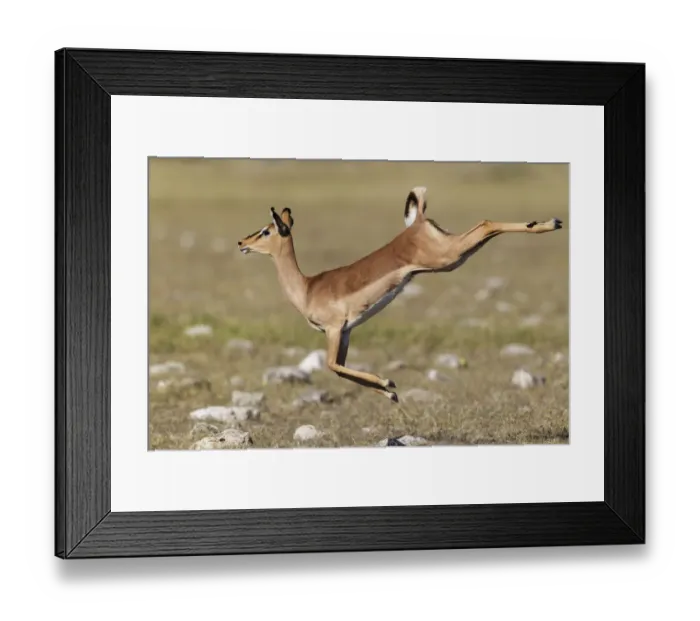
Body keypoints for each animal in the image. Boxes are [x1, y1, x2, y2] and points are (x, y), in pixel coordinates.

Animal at [238, 187, 562, 402]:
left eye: (266, 230)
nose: (241, 242)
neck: (307, 288)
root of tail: (417, 223)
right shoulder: (346, 332)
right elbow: (340, 369)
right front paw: (389, 392)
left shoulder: (334, 329)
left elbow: (332, 366)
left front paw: (388, 381)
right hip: (455, 257)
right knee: (485, 228)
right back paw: (548, 223)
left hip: (448, 257)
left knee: (486, 223)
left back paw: (552, 223)